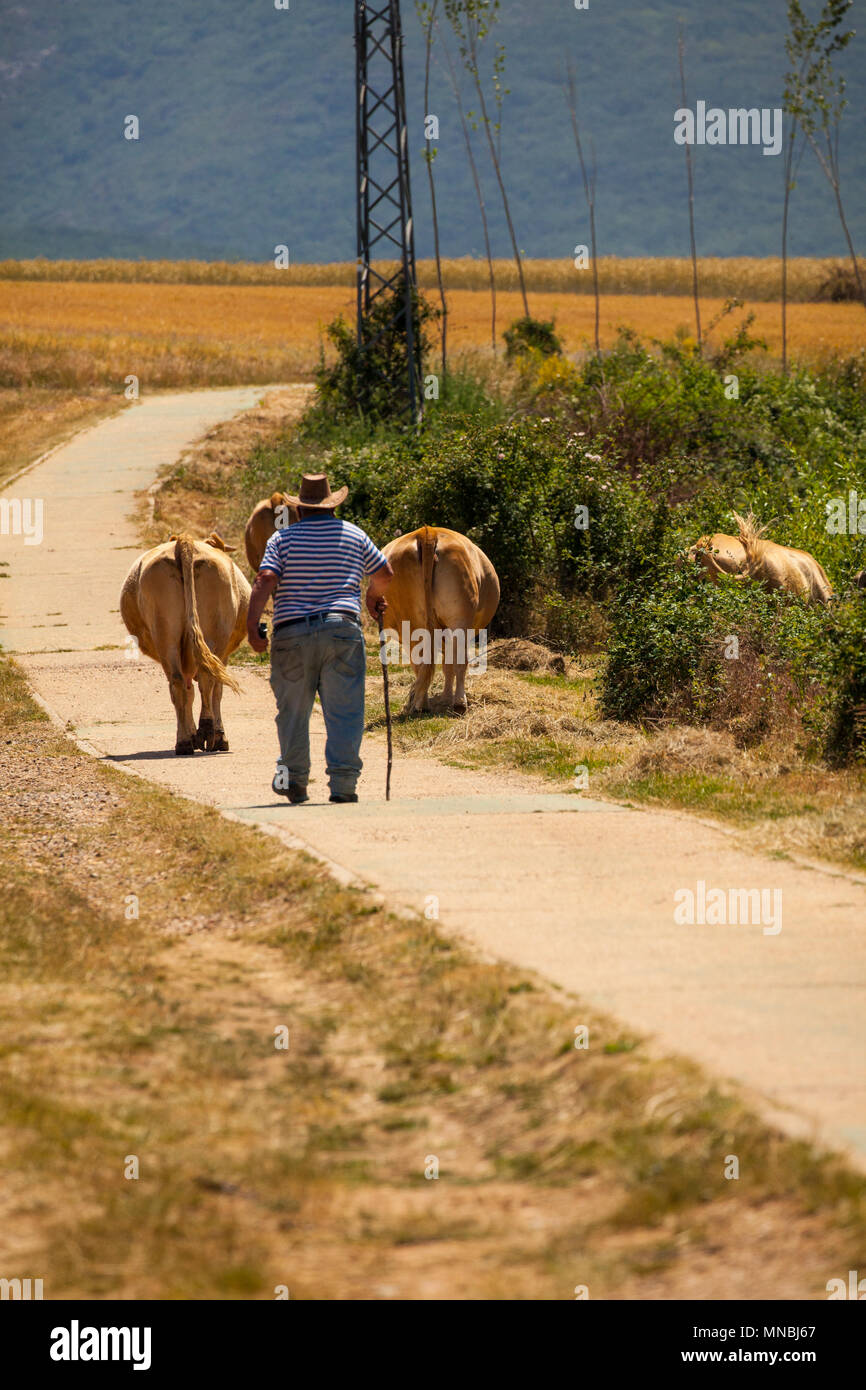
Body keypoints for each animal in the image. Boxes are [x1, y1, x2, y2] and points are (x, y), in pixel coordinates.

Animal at [118, 530, 248, 756]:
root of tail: (184, 542)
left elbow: (191, 693)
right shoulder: (224, 655)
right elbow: (215, 692)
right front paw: (218, 736)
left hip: (166, 634)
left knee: (179, 682)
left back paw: (186, 741)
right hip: (213, 634)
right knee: (206, 680)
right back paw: (203, 733)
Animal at [380, 522, 497, 717]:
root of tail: (428, 532)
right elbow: (448, 664)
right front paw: (446, 697)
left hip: (410, 623)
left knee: (421, 662)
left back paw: (421, 704)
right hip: (459, 618)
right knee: (458, 661)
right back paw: (459, 703)